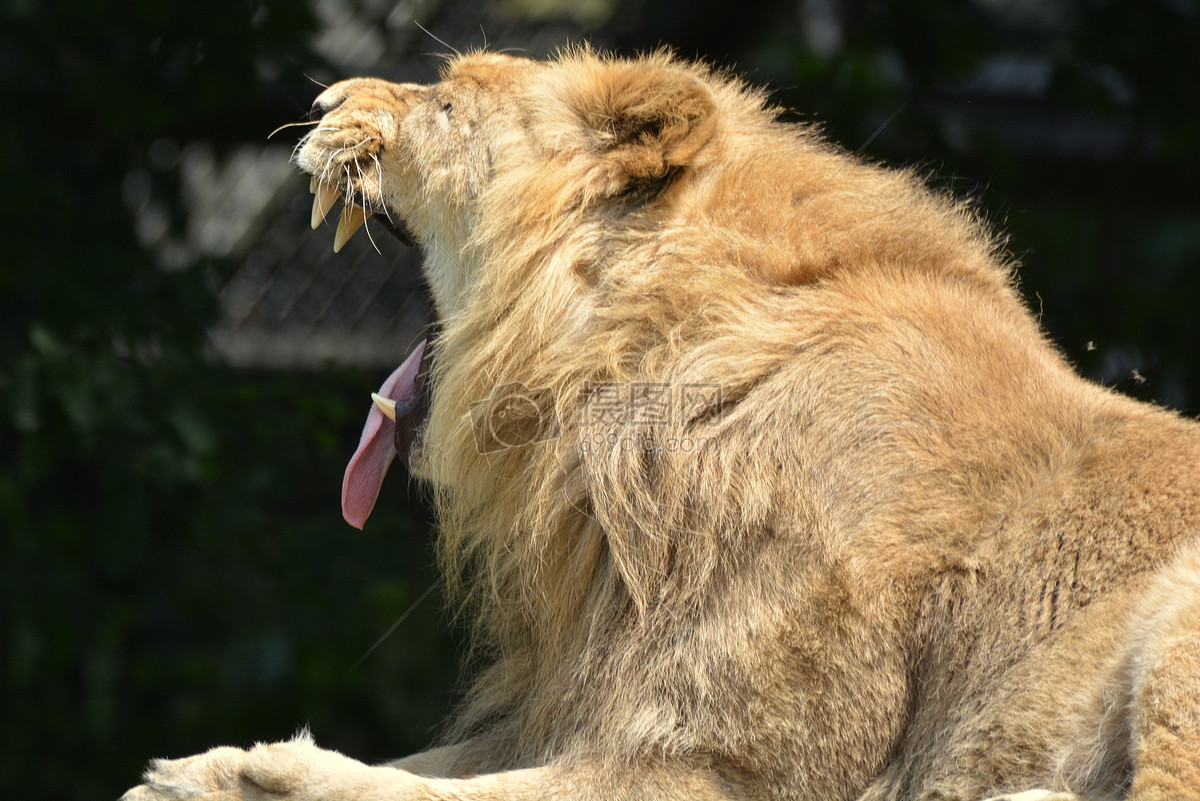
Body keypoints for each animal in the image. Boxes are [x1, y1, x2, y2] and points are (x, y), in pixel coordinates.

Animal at [124, 48, 1200, 801]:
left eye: (449, 107)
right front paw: (198, 769)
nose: (320, 107)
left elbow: (451, 791)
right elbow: (436, 762)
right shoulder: (586, 702)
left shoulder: (732, 767)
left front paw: (258, 772)